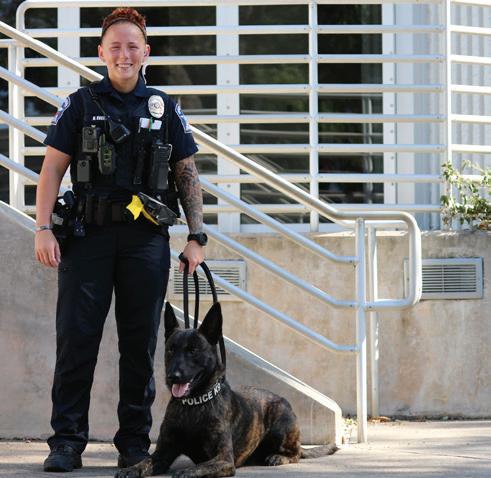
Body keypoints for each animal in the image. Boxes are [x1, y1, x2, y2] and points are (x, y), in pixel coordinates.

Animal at [115, 302, 338, 478]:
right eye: (171, 349)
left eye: (193, 350)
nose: (173, 376)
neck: (194, 404)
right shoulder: (162, 454)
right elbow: (146, 462)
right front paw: (131, 468)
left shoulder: (223, 458)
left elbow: (201, 466)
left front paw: (187, 471)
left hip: (280, 421)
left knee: (296, 454)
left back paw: (277, 457)